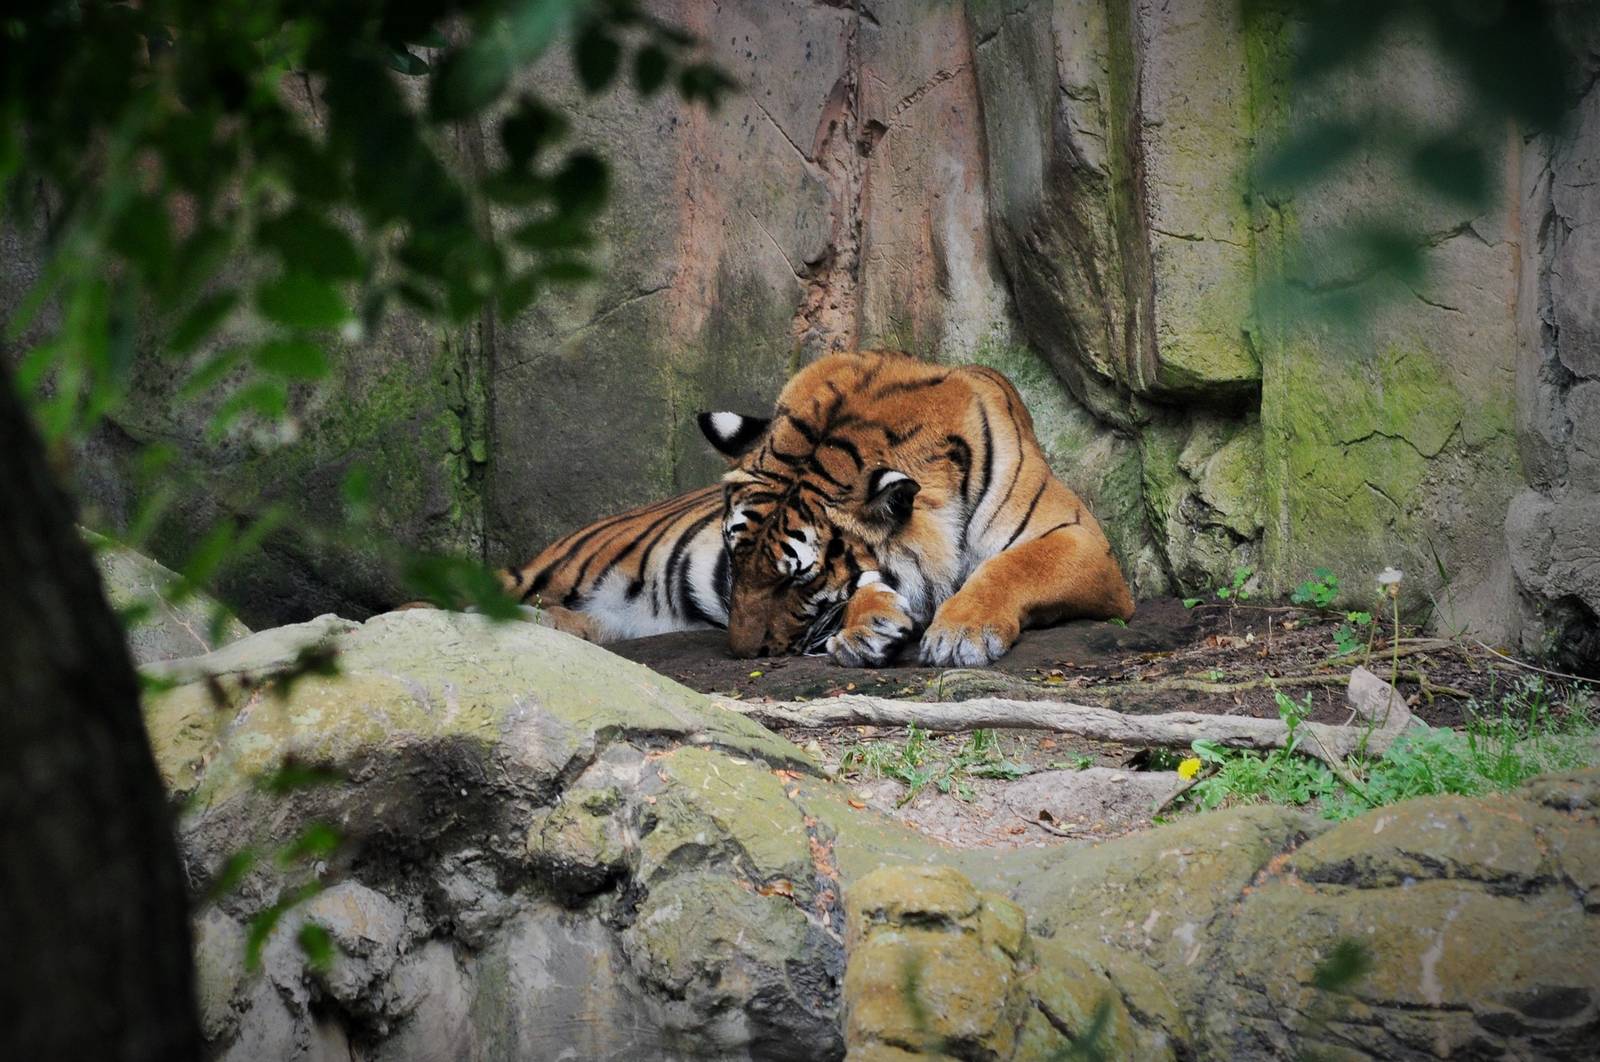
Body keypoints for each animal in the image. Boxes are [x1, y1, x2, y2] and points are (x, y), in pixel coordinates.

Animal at [501, 350, 1135, 666]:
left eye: (797, 579)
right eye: (733, 559)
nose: (741, 653)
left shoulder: (1081, 538)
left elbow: (1011, 566)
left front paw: (961, 631)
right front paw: (869, 624)